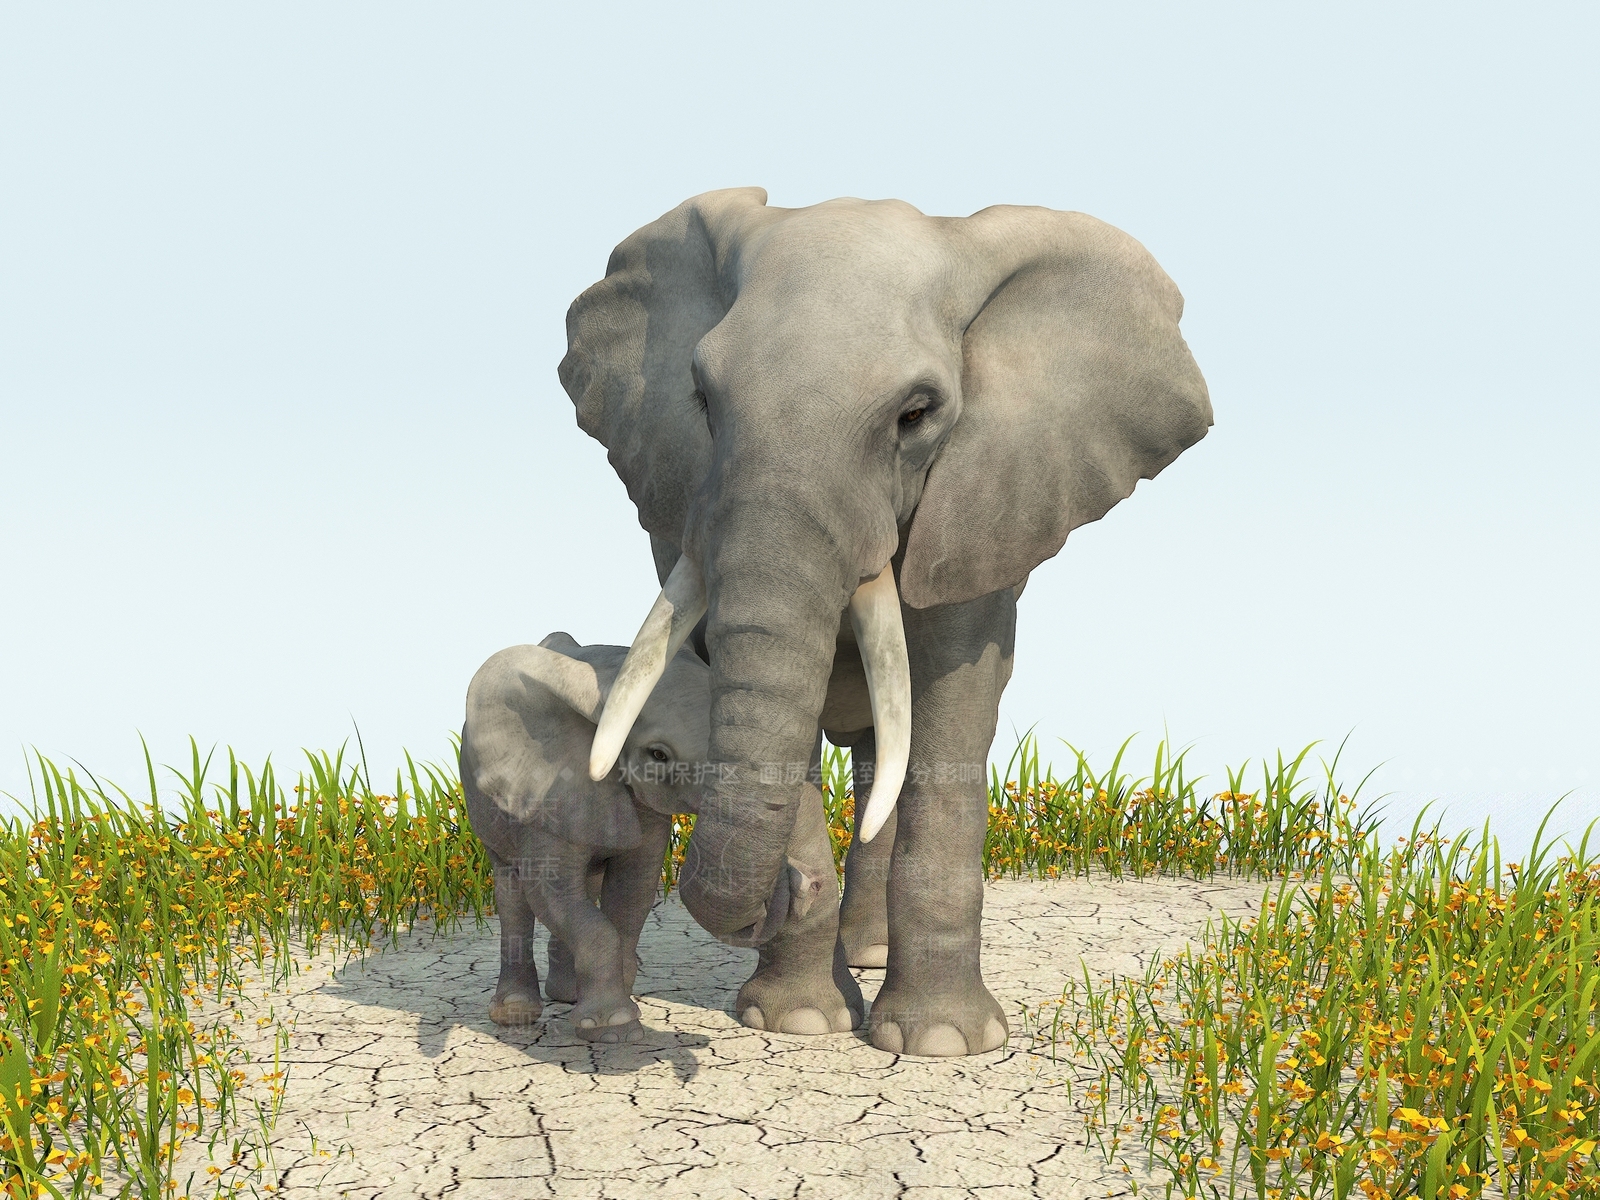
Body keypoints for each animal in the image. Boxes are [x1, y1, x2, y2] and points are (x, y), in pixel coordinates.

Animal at [460, 632, 855, 1042]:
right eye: (658, 755)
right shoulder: (546, 796)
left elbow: (633, 889)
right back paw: (515, 1013)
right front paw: (615, 1027)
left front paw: (619, 1008)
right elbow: (552, 892)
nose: (808, 883)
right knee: (512, 893)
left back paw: (567, 995)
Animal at [557, 189, 1211, 1056]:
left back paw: (871, 958)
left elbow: (953, 697)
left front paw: (942, 1044)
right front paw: (800, 1022)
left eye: (916, 414)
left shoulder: (986, 496)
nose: (781, 894)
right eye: (702, 401)